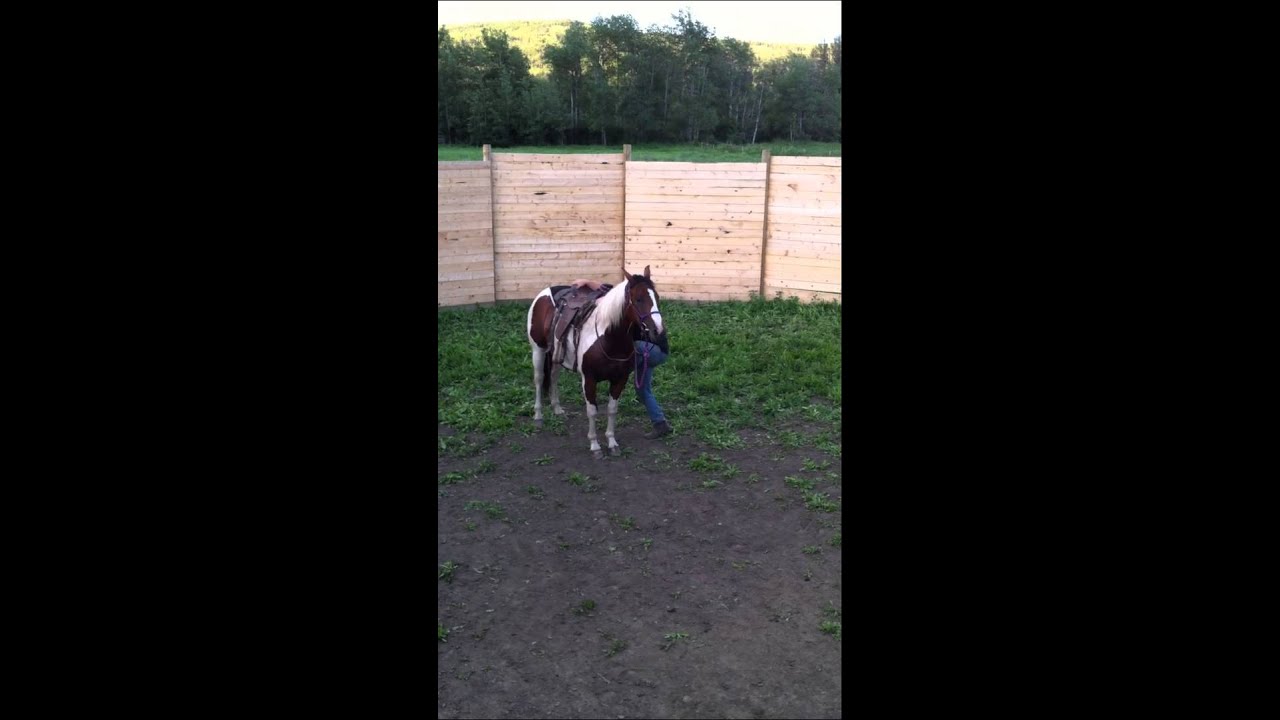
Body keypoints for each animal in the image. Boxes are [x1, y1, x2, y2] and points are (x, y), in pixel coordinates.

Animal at [526, 266, 664, 459]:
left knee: (553, 378)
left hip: (555, 355)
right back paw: (538, 416)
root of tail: (545, 292)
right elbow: (592, 411)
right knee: (539, 380)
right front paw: (595, 446)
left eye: (656, 297)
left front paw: (612, 443)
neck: (609, 339)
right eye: (638, 299)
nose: (658, 330)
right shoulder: (589, 379)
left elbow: (612, 409)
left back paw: (557, 409)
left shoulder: (620, 379)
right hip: (538, 350)